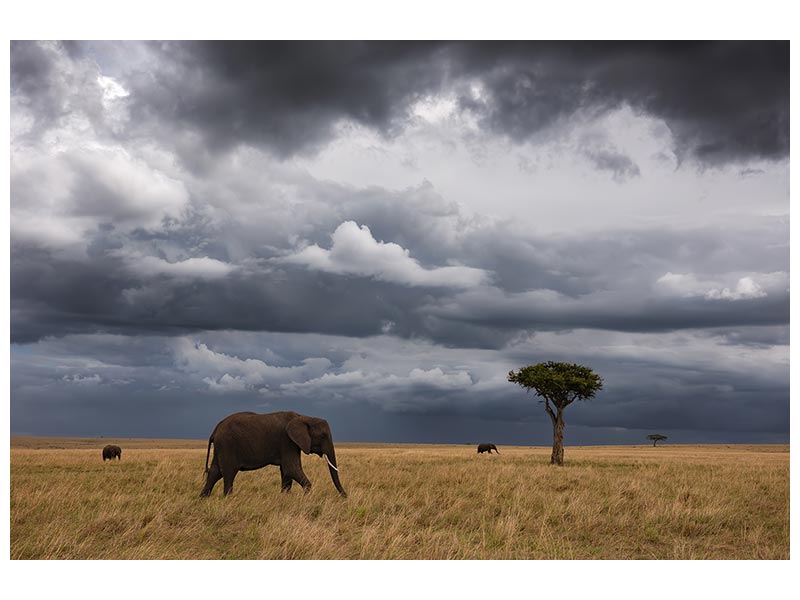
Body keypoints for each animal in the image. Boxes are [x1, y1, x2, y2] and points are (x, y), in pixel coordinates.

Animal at [198, 410, 346, 500]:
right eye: (323, 436)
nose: (345, 497)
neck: (304, 417)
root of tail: (215, 430)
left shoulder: (291, 444)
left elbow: (287, 472)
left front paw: (285, 498)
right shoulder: (287, 441)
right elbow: (291, 469)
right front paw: (306, 498)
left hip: (221, 447)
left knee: (215, 472)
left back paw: (203, 499)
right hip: (227, 445)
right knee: (228, 474)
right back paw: (228, 499)